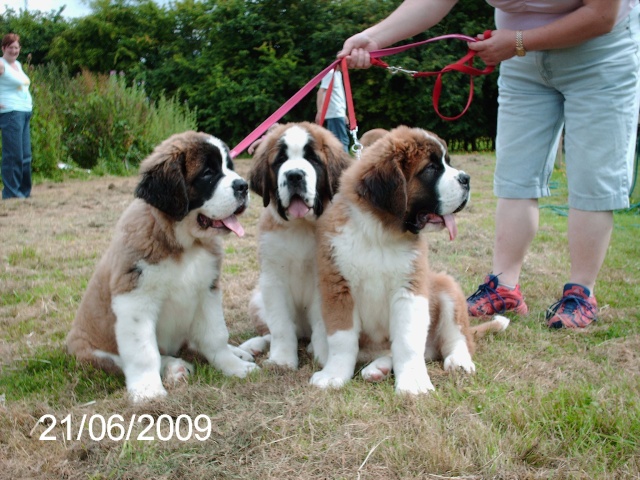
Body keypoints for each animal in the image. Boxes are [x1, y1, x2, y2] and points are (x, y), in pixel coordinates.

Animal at [67, 130, 258, 402]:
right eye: (207, 173)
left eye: (229, 167)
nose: (243, 186)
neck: (183, 244)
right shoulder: (134, 300)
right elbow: (144, 353)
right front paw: (148, 392)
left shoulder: (207, 292)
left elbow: (215, 336)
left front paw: (234, 366)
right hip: (95, 352)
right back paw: (174, 367)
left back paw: (237, 352)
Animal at [239, 123, 352, 368]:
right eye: (280, 160)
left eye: (313, 159)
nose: (294, 175)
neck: (301, 227)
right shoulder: (273, 280)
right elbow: (280, 325)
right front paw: (282, 360)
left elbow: (323, 324)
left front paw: (324, 356)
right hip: (258, 298)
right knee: (270, 331)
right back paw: (253, 346)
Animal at [312, 126, 510, 394]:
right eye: (431, 169)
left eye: (448, 162)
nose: (466, 179)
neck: (379, 232)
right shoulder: (338, 288)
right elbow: (341, 340)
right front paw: (334, 375)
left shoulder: (410, 290)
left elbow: (407, 341)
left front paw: (413, 382)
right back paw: (378, 368)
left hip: (445, 287)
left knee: (456, 339)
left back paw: (458, 360)